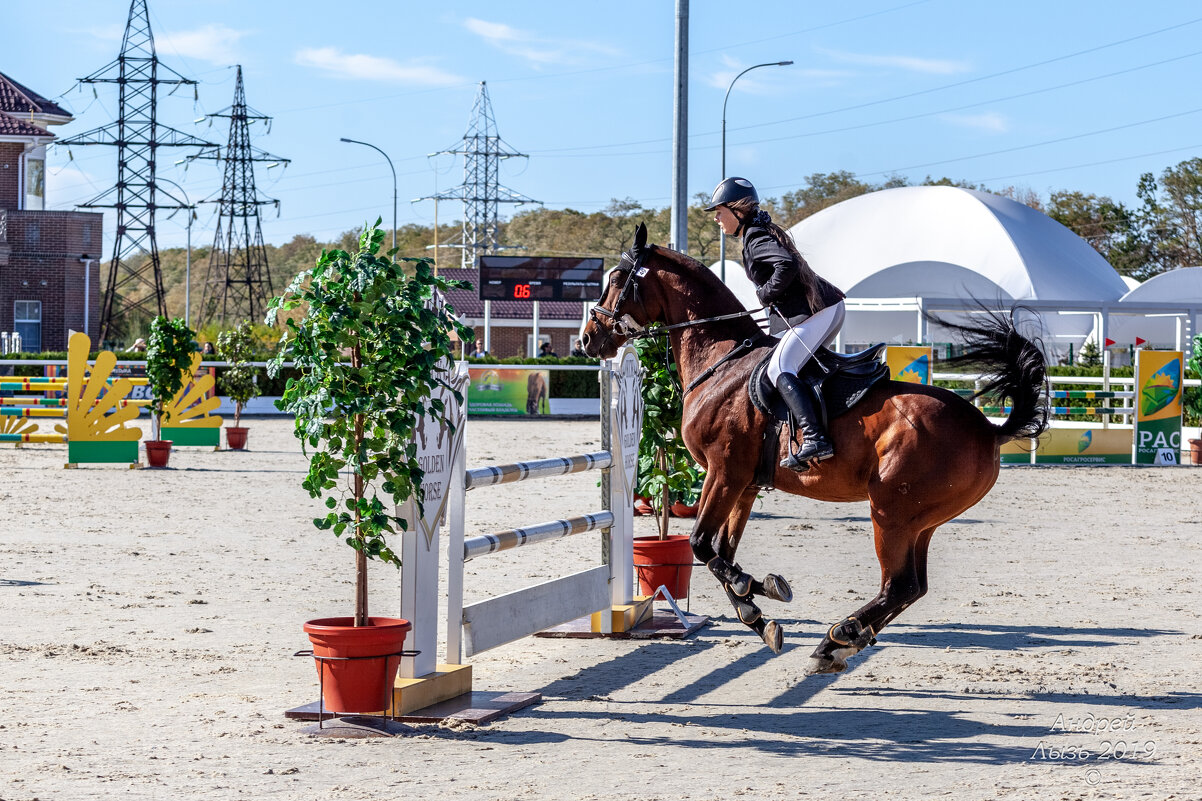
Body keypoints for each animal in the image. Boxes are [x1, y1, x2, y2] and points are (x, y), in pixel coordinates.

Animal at [576, 224, 1048, 673]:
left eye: (616, 279)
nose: (587, 340)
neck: (720, 362)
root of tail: (987, 429)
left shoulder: (723, 472)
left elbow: (702, 546)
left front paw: (754, 591)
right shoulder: (744, 484)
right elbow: (722, 552)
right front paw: (759, 609)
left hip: (891, 512)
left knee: (899, 584)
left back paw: (837, 639)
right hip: (922, 520)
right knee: (913, 586)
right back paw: (843, 641)